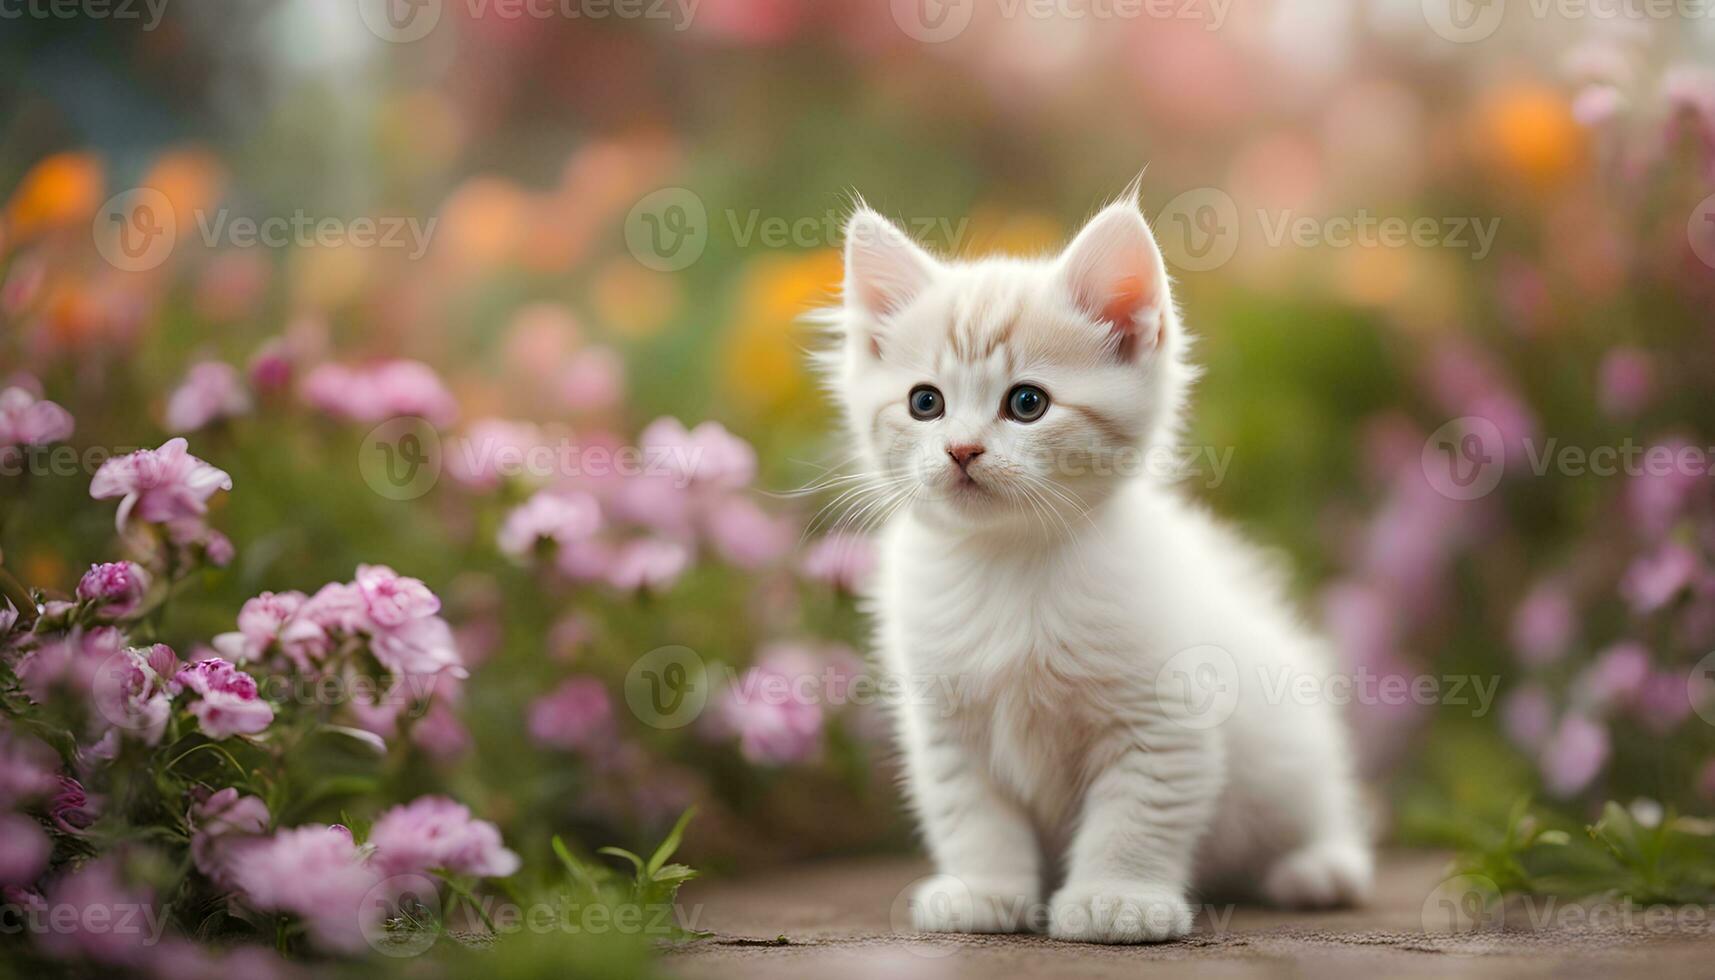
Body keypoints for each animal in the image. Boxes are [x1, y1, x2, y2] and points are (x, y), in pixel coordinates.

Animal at [823, 193, 1372, 940]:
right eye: (924, 402)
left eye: (1027, 403)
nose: (961, 450)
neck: (1011, 562)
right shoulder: (946, 727)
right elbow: (972, 816)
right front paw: (984, 891)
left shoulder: (1164, 719)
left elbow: (1135, 815)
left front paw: (1116, 900)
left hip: (1288, 746)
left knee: (1315, 804)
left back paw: (1318, 866)